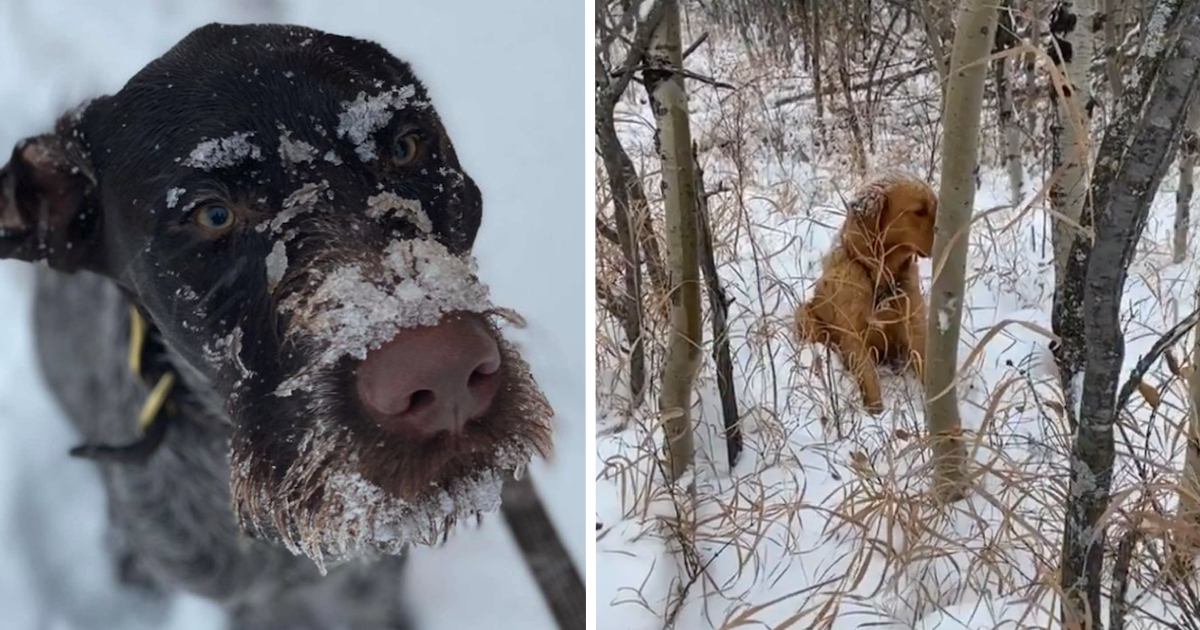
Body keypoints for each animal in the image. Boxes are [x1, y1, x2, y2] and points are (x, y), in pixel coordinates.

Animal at [796, 169, 936, 415]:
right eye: (919, 211)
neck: (879, 275)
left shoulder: (915, 324)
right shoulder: (854, 336)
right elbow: (869, 379)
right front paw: (876, 414)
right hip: (804, 314)